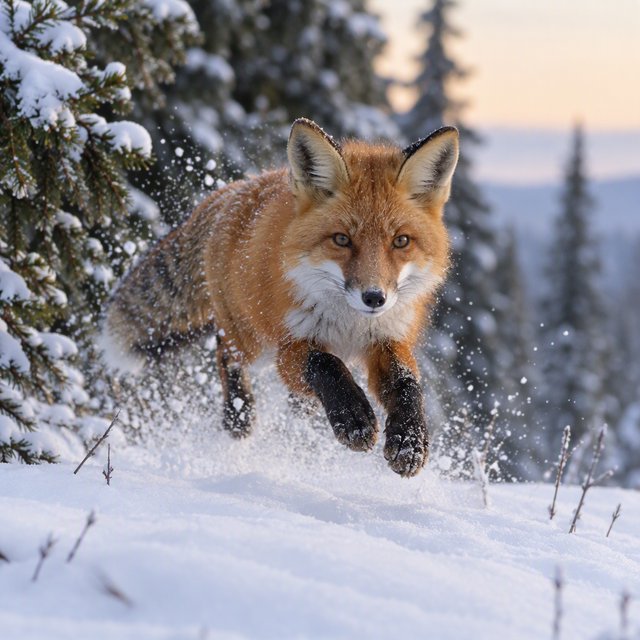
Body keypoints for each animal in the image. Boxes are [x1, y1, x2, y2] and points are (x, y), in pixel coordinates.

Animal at [102, 118, 459, 477]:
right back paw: (238, 415)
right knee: (225, 349)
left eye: (401, 241)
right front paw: (353, 417)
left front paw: (409, 440)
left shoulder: (387, 339)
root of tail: (235, 191)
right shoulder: (290, 346)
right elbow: (326, 364)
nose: (374, 298)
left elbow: (407, 384)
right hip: (252, 340)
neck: (350, 325)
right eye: (341, 239)